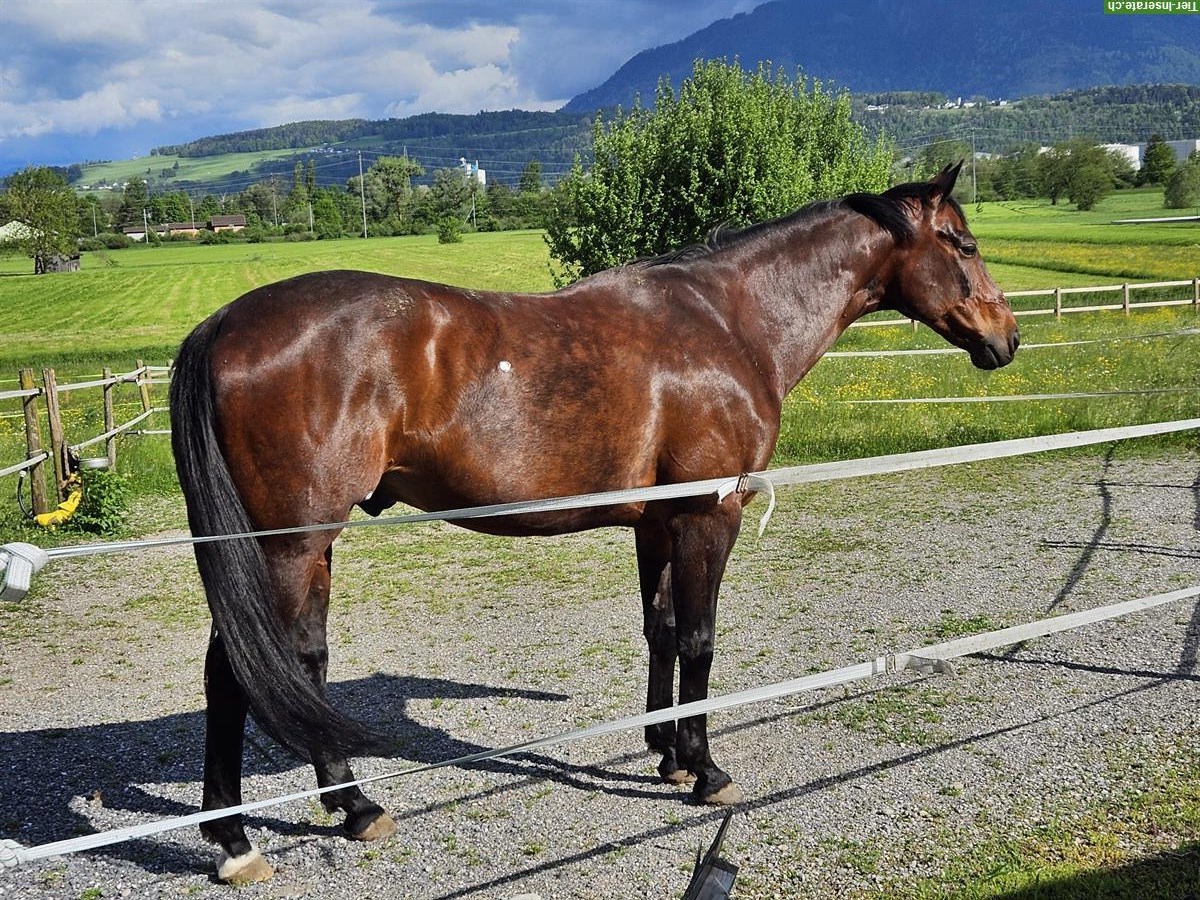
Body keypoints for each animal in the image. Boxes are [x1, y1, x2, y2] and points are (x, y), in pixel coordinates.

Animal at [169, 164, 1012, 888]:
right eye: (963, 243)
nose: (1005, 337)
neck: (729, 321)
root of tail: (222, 324)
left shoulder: (659, 522)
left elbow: (662, 630)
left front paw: (668, 753)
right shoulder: (709, 516)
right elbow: (699, 638)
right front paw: (705, 770)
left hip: (307, 548)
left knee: (299, 663)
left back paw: (349, 808)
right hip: (287, 546)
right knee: (233, 672)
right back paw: (238, 841)